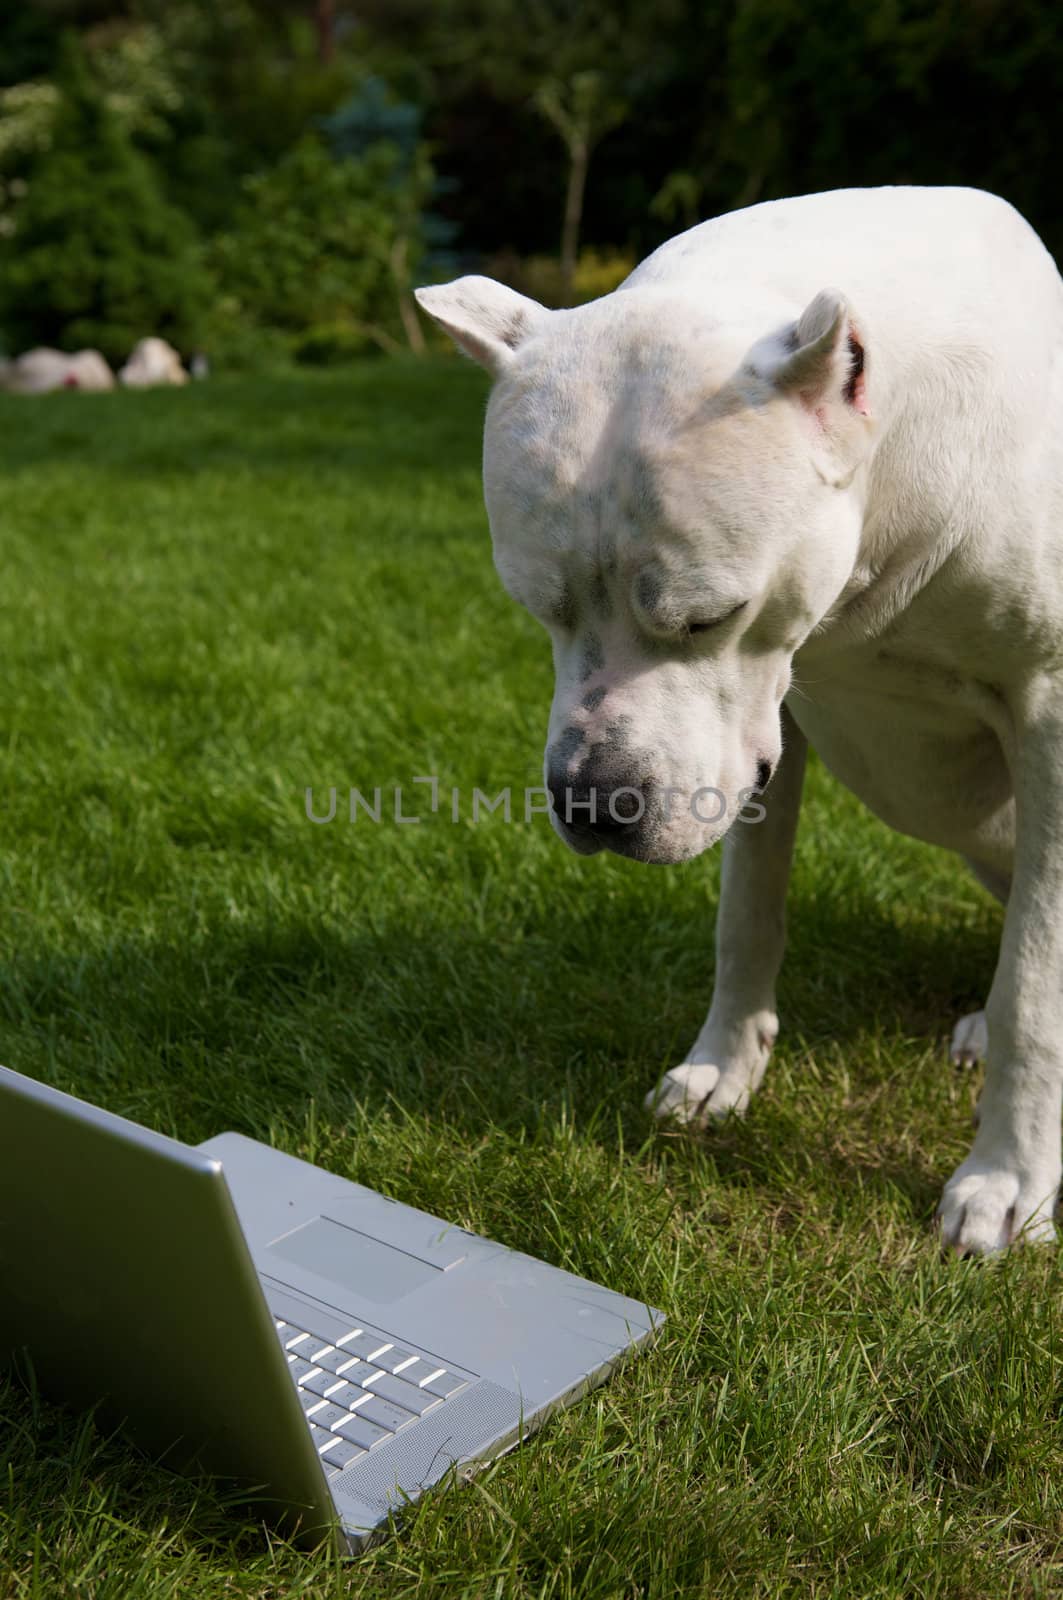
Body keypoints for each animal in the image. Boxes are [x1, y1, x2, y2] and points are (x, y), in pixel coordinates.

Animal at [419, 187, 1063, 1254]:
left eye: (706, 616)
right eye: (536, 607)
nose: (593, 804)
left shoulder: (1050, 725)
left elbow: (1034, 985)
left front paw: (1006, 1176)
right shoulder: (768, 731)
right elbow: (746, 915)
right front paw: (724, 1069)